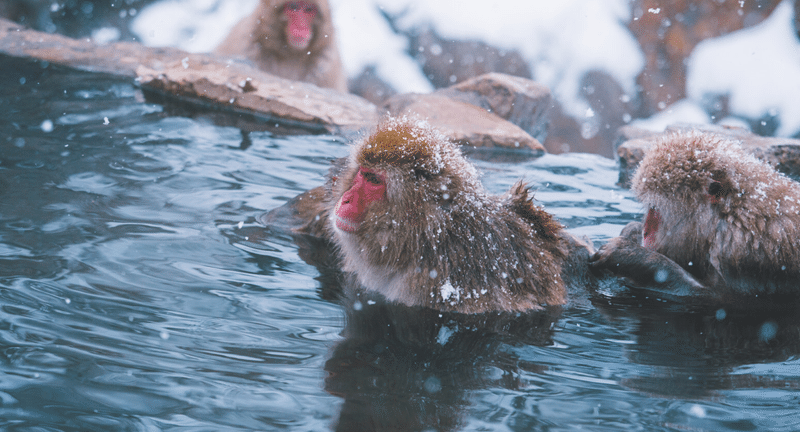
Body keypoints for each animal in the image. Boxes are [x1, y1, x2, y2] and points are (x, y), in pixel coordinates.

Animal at [214, 0, 348, 92]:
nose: (300, 27)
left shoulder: (327, 66)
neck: (291, 54)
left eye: (309, 9)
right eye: (293, 7)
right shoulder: (243, 46)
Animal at [592, 132, 800, 304]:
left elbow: (717, 299)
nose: (646, 232)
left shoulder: (745, 255)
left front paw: (630, 255)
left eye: (654, 208)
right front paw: (632, 231)